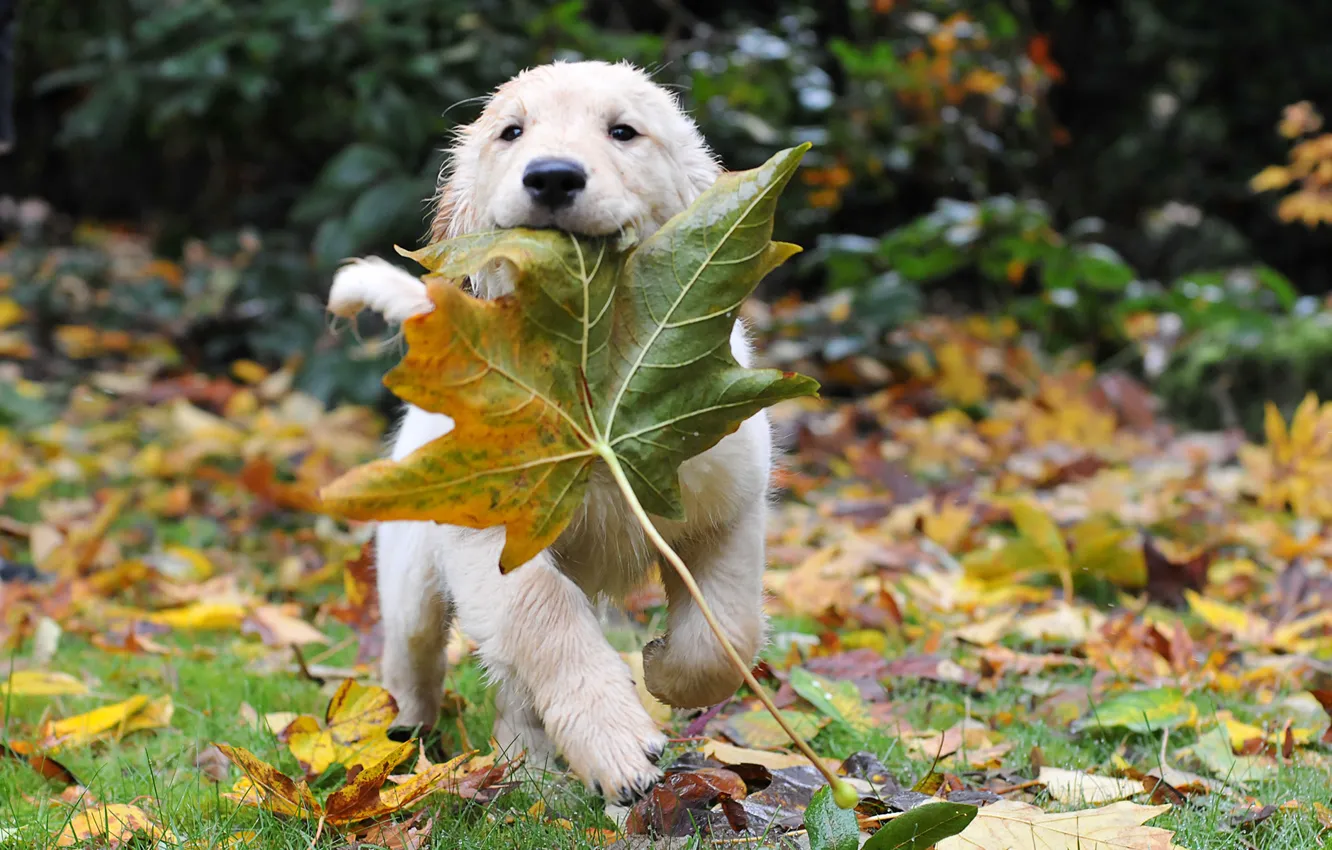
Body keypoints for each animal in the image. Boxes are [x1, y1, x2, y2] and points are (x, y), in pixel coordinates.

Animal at [327, 61, 777, 804]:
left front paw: (664, 672)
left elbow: (726, 632)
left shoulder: (727, 507)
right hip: (412, 570)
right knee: (416, 657)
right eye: (512, 132)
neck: (589, 369)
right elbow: (547, 620)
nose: (553, 177)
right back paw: (410, 741)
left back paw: (527, 767)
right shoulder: (492, 537)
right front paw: (616, 743)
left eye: (623, 131)